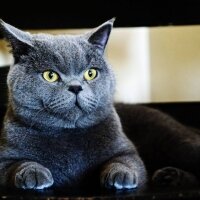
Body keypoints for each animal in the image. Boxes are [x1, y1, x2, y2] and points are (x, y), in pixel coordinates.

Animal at [0, 19, 147, 190]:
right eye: (50, 75)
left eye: (91, 73)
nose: (76, 87)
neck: (69, 132)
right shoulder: (5, 156)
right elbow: (19, 163)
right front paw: (33, 173)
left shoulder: (127, 150)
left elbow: (125, 161)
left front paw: (122, 174)